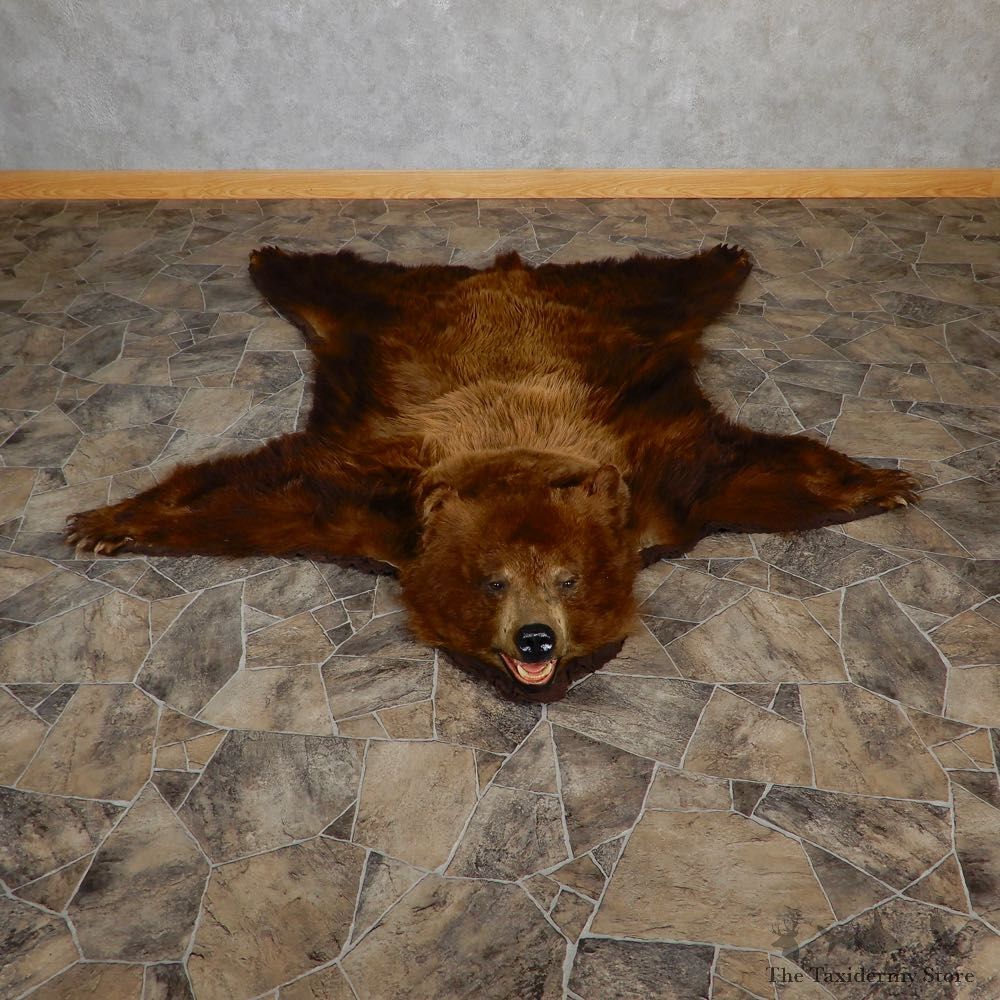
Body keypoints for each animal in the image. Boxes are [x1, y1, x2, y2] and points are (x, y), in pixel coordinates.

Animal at [66, 244, 918, 699]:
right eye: (492, 580)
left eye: (569, 578)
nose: (537, 640)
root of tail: (503, 271)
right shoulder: (369, 494)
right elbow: (253, 493)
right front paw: (105, 522)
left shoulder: (657, 476)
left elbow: (748, 472)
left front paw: (881, 481)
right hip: (381, 319)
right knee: (341, 287)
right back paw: (274, 257)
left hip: (626, 322)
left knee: (664, 286)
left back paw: (723, 256)